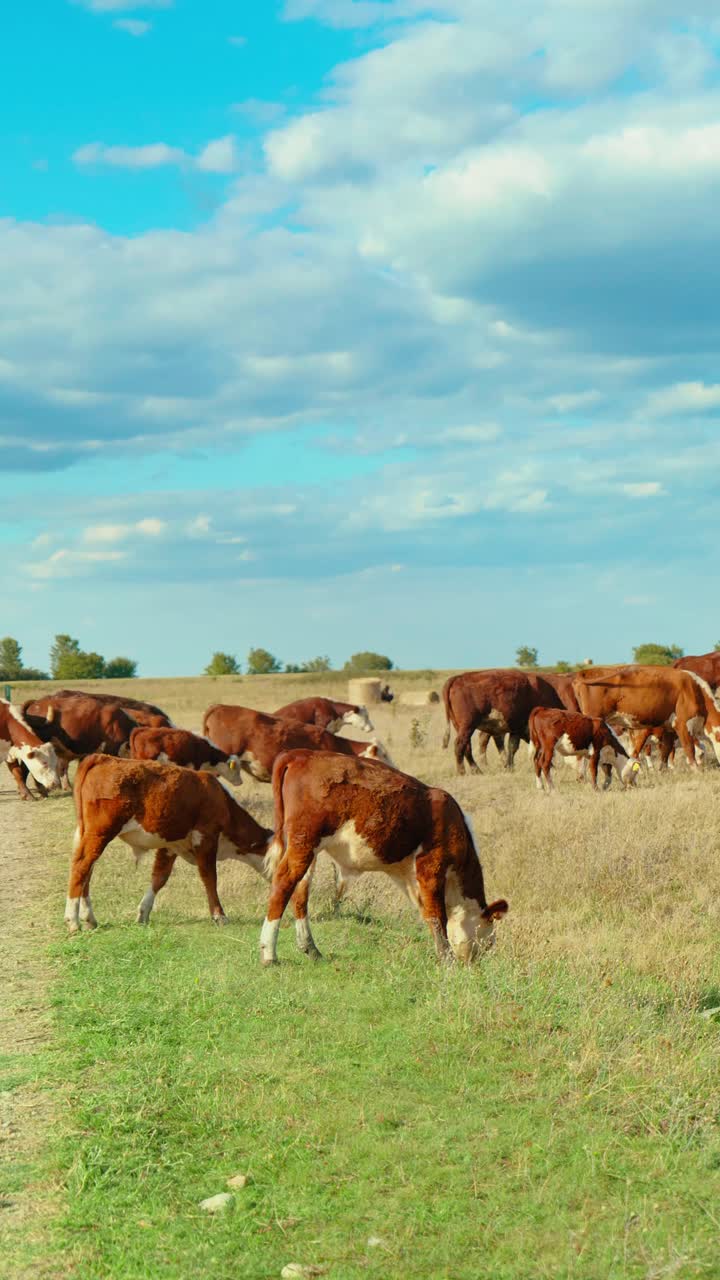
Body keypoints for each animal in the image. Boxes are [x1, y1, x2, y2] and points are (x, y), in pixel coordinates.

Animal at [65, 754, 280, 934]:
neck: (221, 800)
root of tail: (101, 758)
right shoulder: (205, 837)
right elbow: (210, 878)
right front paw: (219, 915)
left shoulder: (170, 845)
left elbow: (159, 877)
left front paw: (143, 913)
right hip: (100, 833)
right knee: (82, 867)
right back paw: (73, 921)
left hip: (86, 834)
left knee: (87, 870)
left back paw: (89, 919)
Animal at [259, 749, 508, 967]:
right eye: (488, 943)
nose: (475, 965)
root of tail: (300, 754)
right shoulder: (431, 867)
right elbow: (438, 917)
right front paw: (447, 961)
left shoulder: (412, 877)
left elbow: (428, 913)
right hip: (305, 841)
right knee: (283, 883)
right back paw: (269, 954)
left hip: (305, 847)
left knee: (300, 890)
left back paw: (311, 949)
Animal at [572, 665, 720, 767]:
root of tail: (583, 673)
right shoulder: (682, 724)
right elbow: (690, 750)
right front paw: (697, 770)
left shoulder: (669, 728)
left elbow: (666, 752)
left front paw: (663, 772)